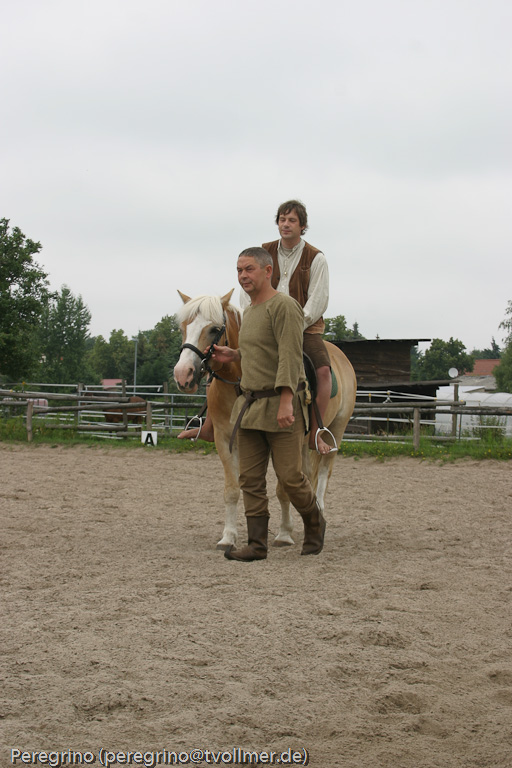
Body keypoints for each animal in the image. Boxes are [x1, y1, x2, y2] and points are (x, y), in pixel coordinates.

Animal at [173, 290, 357, 550]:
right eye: (183, 327)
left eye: (214, 329)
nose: (183, 374)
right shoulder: (225, 441)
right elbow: (232, 489)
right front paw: (228, 537)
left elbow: (283, 489)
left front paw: (284, 533)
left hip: (335, 431)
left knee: (322, 473)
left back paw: (318, 514)